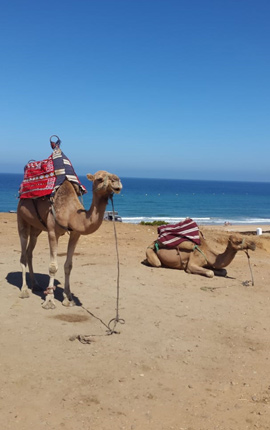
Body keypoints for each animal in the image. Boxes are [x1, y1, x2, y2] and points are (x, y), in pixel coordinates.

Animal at [17, 171, 122, 310]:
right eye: (99, 179)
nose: (117, 181)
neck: (70, 213)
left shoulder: (75, 234)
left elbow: (68, 265)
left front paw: (68, 298)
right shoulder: (52, 232)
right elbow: (52, 267)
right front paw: (49, 301)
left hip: (36, 228)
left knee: (29, 252)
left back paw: (36, 285)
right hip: (21, 218)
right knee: (23, 254)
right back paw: (24, 290)